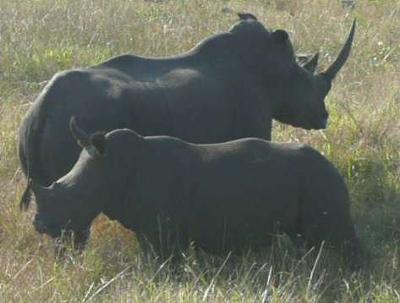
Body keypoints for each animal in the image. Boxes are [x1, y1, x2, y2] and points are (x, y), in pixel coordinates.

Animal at [18, 13, 356, 209]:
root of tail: (43, 107)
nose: (323, 117)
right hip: (86, 116)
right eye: (306, 81)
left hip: (38, 124)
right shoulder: (254, 126)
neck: (272, 67)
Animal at [32, 117, 362, 268]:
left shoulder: (165, 231)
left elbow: (168, 264)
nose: (41, 226)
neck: (111, 166)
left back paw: (352, 273)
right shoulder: (146, 227)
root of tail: (333, 165)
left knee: (337, 238)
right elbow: (152, 258)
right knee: (307, 240)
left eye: (77, 197)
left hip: (320, 181)